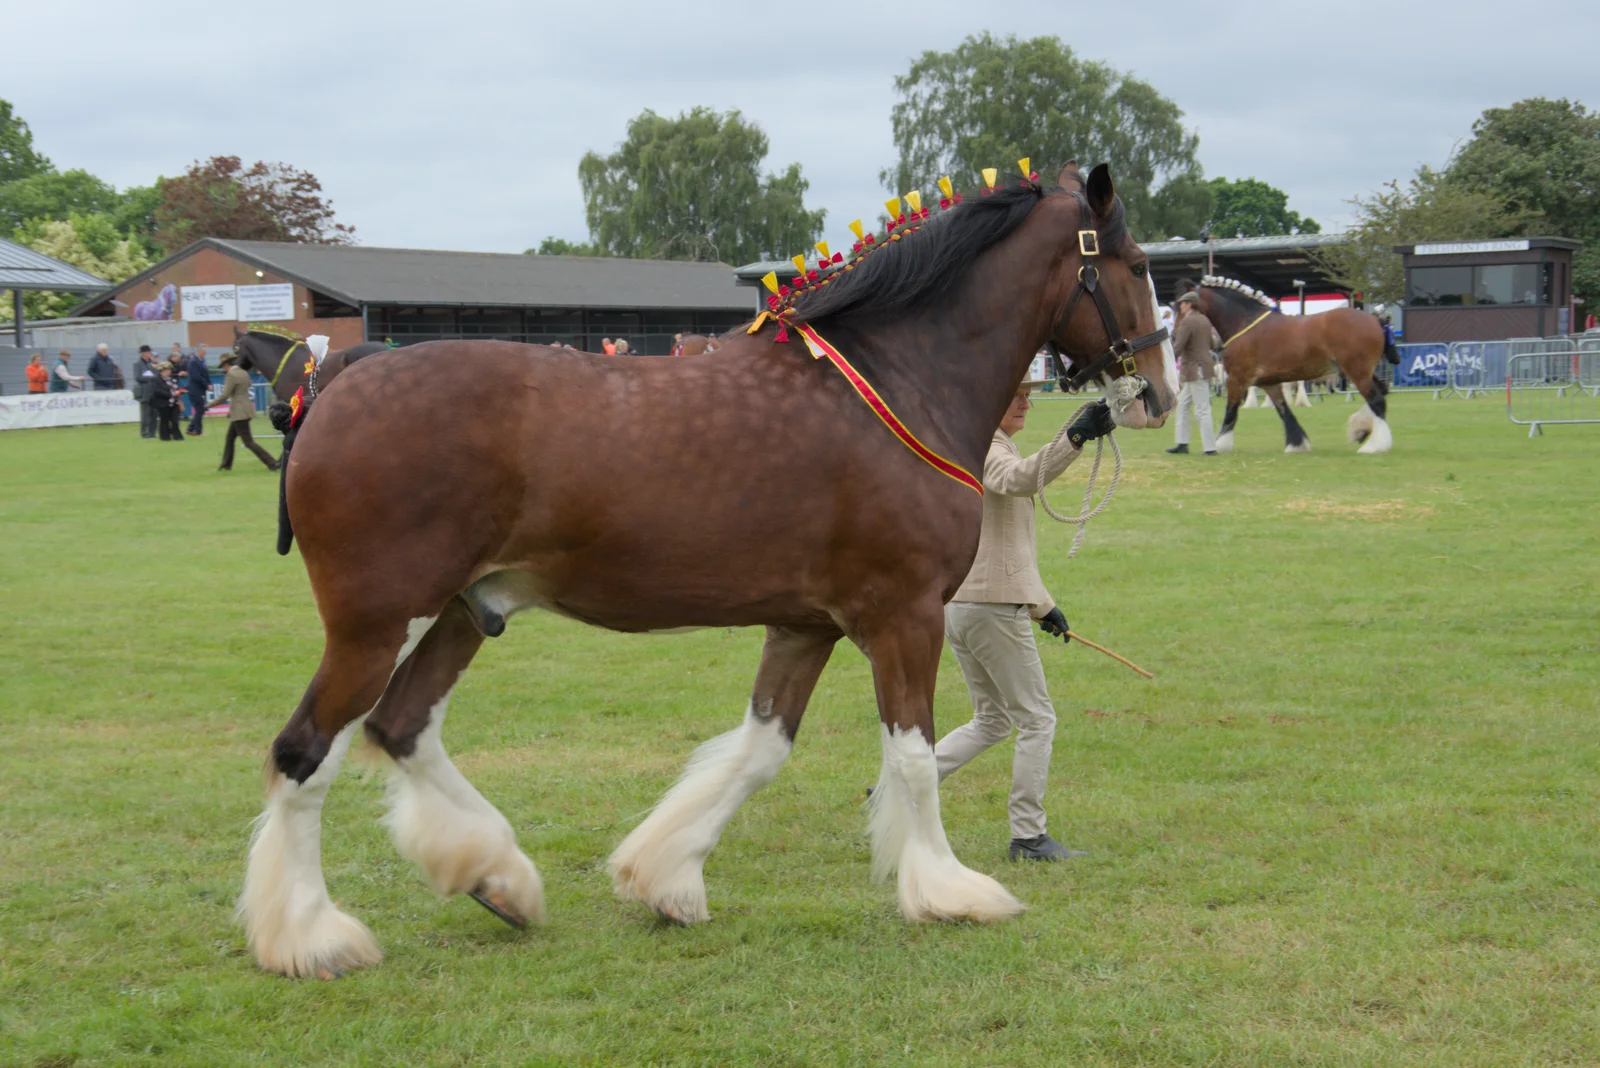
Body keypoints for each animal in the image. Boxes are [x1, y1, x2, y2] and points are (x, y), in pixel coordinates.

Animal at [243, 160, 1184, 978]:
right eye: (1139, 266)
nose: (1157, 393)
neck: (900, 380)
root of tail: (334, 387)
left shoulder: (807, 625)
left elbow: (761, 750)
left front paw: (665, 878)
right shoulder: (903, 614)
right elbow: (912, 755)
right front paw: (950, 891)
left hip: (463, 612)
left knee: (402, 727)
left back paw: (496, 876)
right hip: (377, 621)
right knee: (306, 750)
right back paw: (312, 937)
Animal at [1177, 278, 1401, 454]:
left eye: (1180, 305)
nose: (1175, 332)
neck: (1244, 322)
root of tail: (1376, 320)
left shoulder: (1237, 380)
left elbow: (1231, 412)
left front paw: (1220, 444)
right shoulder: (1269, 383)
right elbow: (1284, 411)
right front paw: (1297, 444)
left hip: (1357, 372)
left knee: (1376, 400)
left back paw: (1374, 445)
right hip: (1364, 372)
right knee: (1381, 393)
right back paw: (1361, 430)